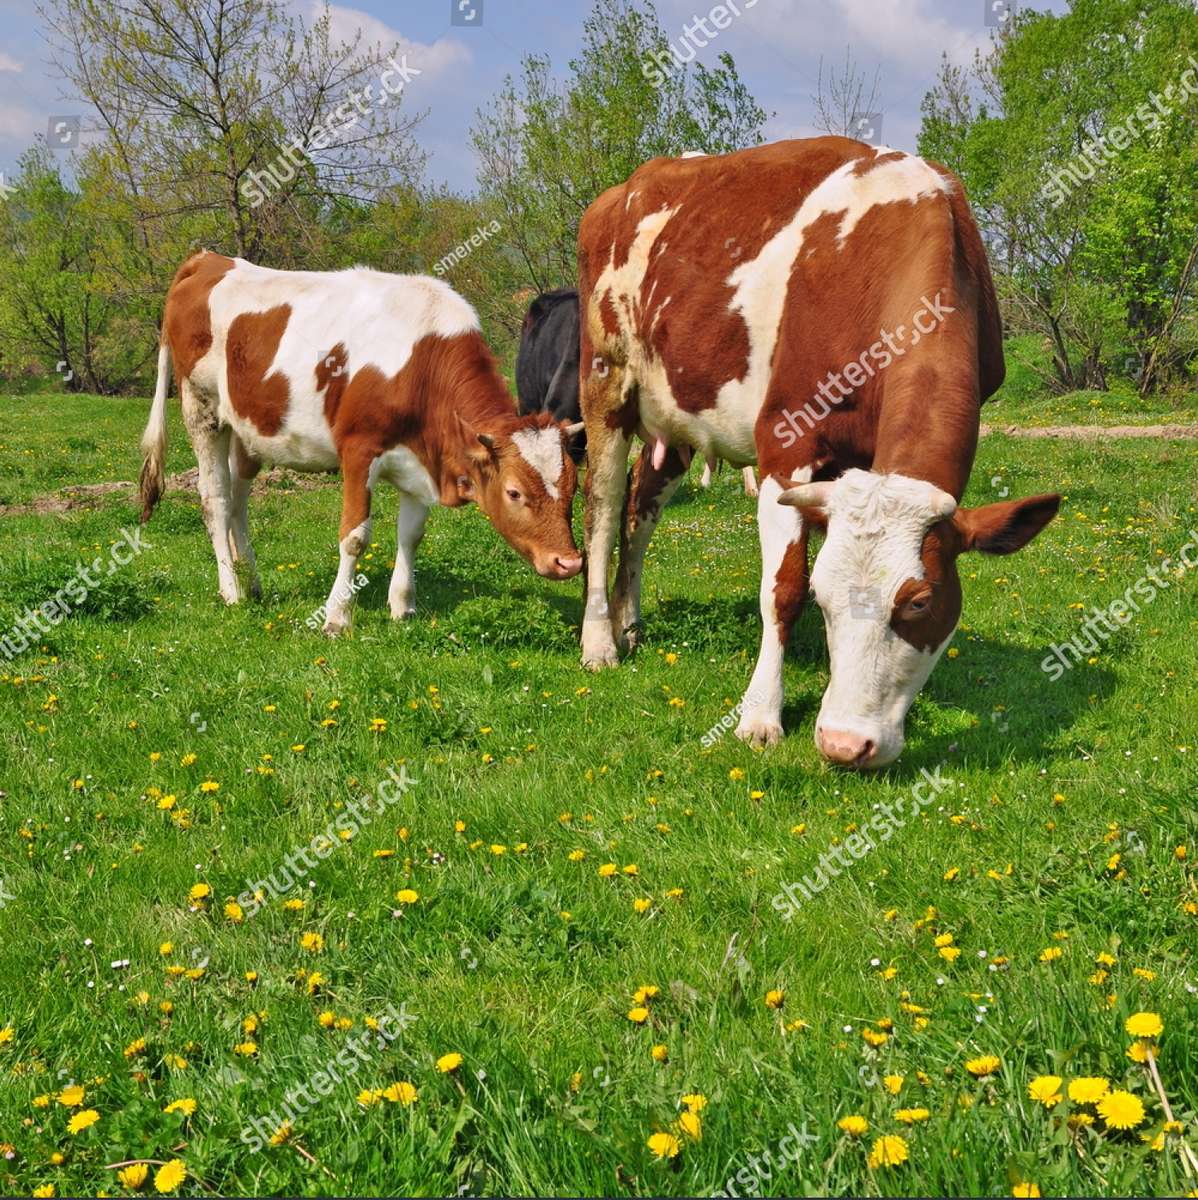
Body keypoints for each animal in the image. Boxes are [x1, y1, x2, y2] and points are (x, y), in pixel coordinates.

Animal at [140, 249, 585, 633]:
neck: (421, 363)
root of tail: (208, 259)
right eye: (514, 492)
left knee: (237, 497)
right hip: (201, 408)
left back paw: (251, 581)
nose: (568, 562)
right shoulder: (358, 451)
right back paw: (231, 589)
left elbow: (412, 534)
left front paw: (403, 607)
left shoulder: (420, 459)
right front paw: (337, 618)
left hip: (246, 429)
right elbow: (354, 538)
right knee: (215, 498)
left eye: (572, 487)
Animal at [580, 136, 1061, 763]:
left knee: (641, 510)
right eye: (824, 597)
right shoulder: (785, 445)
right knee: (604, 510)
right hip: (605, 381)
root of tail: (629, 185)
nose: (843, 743)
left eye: (919, 601)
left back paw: (628, 624)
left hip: (678, 414)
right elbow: (779, 592)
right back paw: (599, 642)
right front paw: (759, 716)